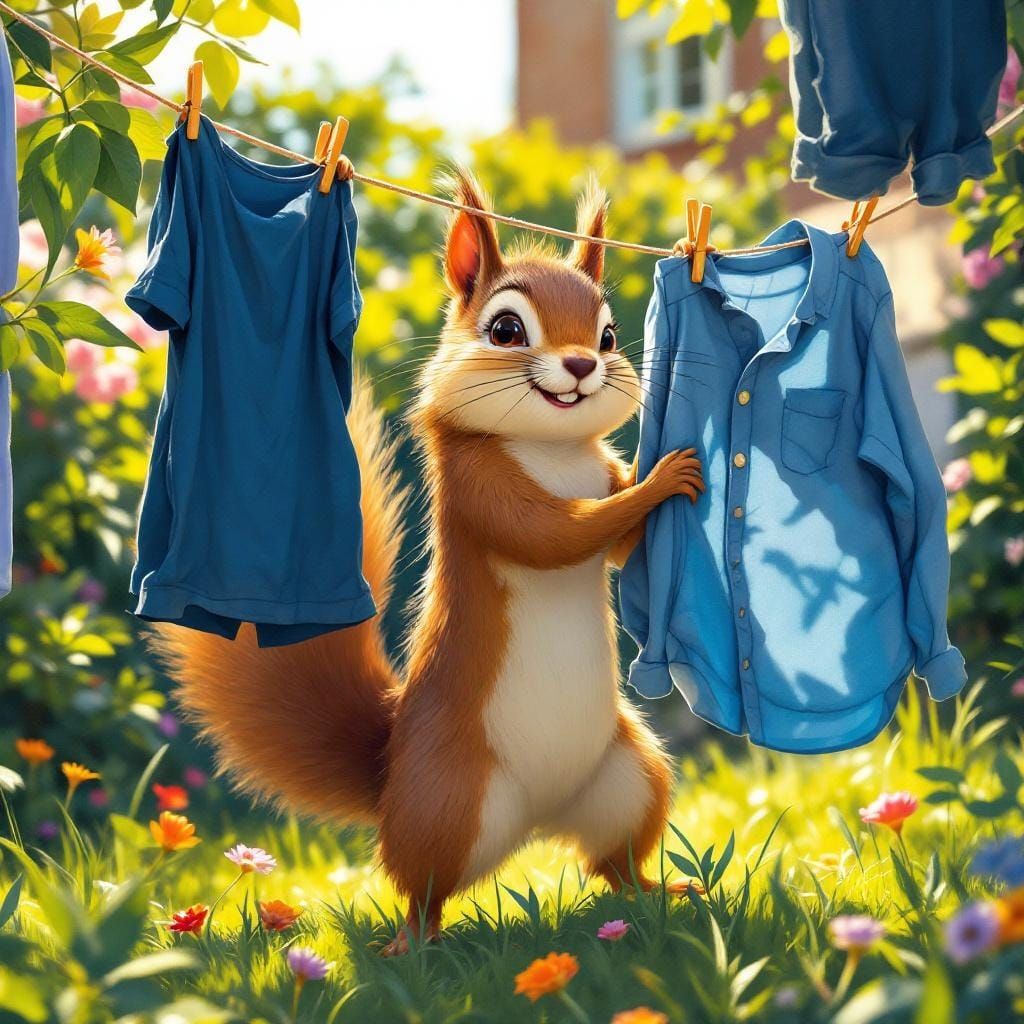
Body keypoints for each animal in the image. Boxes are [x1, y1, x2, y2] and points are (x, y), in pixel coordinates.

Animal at [152, 170, 705, 956]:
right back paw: (411, 945)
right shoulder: (481, 493)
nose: (582, 367)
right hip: (449, 801)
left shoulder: (594, 469)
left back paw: (664, 893)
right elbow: (556, 537)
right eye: (505, 330)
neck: (556, 450)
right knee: (424, 888)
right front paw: (663, 478)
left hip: (629, 780)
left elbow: (613, 534)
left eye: (607, 335)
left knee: (614, 863)